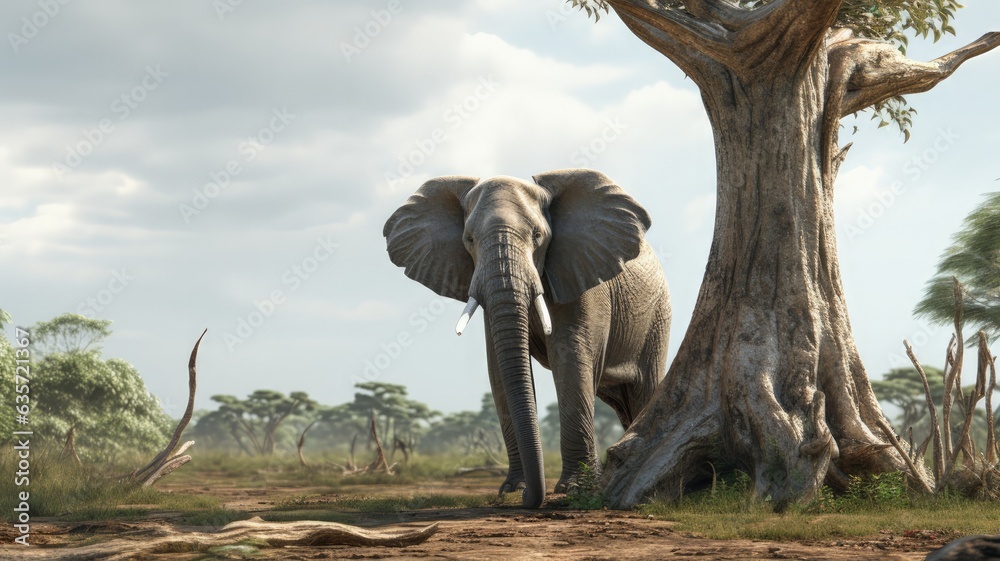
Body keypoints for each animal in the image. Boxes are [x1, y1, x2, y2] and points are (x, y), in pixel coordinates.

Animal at [383, 169, 670, 508]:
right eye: (469, 239)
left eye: (537, 236)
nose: (527, 497)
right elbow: (498, 369)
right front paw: (512, 489)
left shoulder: (582, 278)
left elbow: (570, 359)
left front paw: (574, 487)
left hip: (657, 316)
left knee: (644, 389)